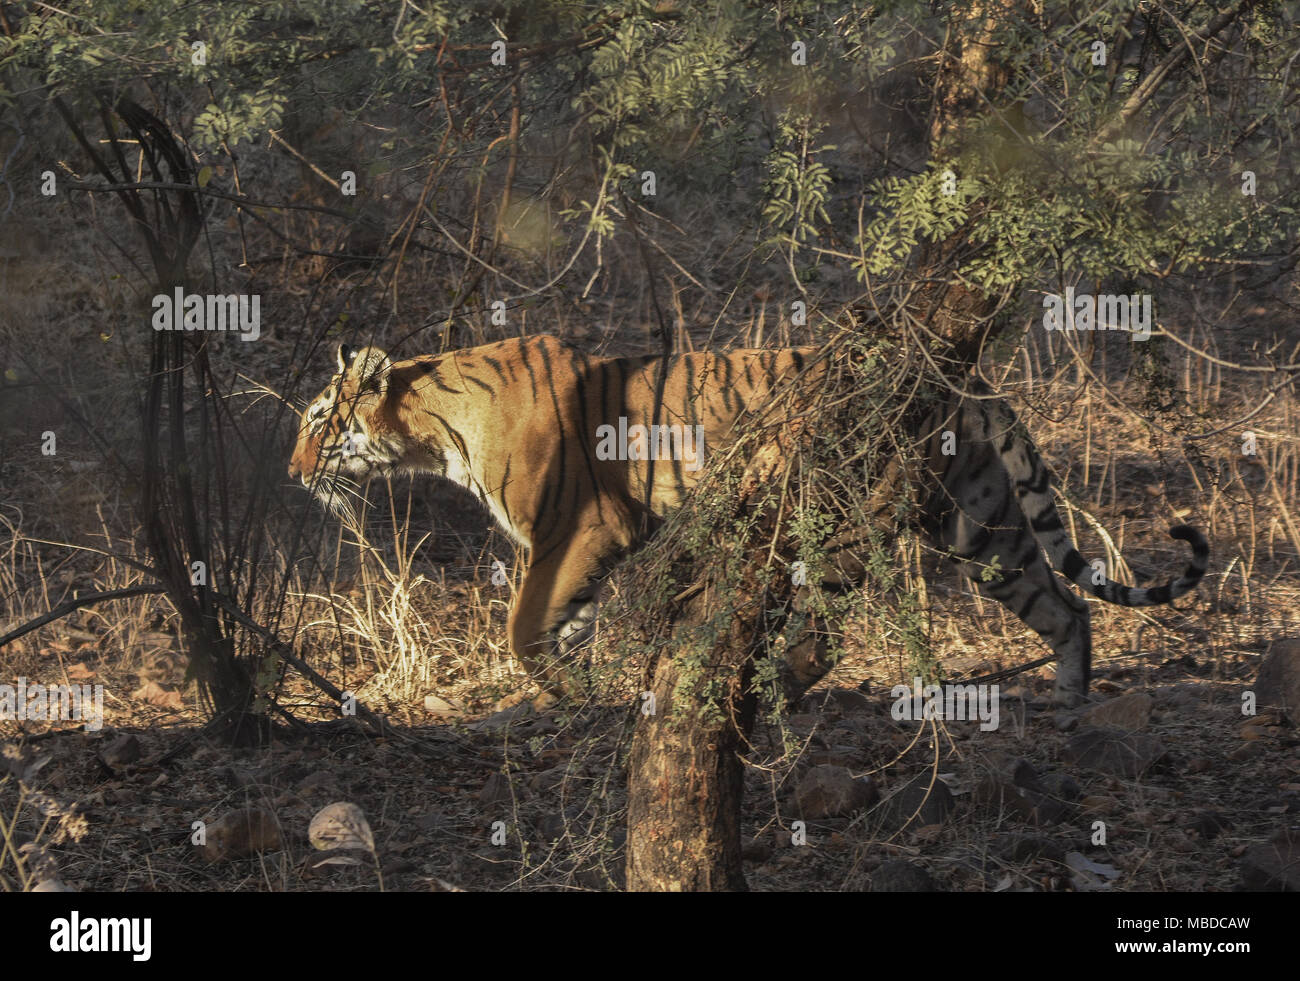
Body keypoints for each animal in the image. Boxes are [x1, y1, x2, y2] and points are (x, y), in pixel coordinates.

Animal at [284, 332, 1206, 712]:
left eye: (320, 419)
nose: (293, 473)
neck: (432, 426)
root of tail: (966, 383)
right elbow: (565, 630)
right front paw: (584, 699)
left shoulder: (581, 528)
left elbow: (522, 628)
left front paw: (573, 695)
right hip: (977, 524)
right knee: (1066, 605)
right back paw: (1068, 706)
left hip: (860, 519)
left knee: (825, 633)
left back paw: (773, 690)